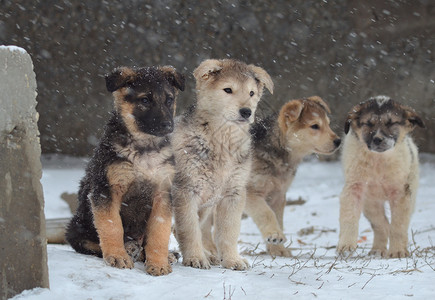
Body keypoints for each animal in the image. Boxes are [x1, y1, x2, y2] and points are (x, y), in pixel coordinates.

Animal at [65, 64, 185, 276]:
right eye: (145, 100)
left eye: (169, 100)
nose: (168, 126)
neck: (144, 148)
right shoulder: (107, 190)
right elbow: (112, 226)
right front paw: (118, 256)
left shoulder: (163, 194)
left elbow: (159, 232)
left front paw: (158, 263)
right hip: (76, 227)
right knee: (91, 242)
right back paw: (128, 249)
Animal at [172, 58, 274, 270]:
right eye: (228, 90)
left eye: (251, 93)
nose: (246, 112)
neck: (222, 141)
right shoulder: (185, 191)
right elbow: (189, 230)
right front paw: (195, 258)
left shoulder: (233, 193)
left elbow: (228, 232)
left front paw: (232, 260)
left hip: (206, 206)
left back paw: (209, 255)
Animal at [247, 97, 342, 256]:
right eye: (315, 126)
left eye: (328, 124)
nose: (338, 141)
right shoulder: (250, 192)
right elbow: (266, 213)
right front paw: (274, 235)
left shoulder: (278, 195)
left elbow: (278, 219)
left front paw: (278, 250)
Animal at [338, 96, 426, 258]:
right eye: (368, 124)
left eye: (391, 123)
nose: (378, 139)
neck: (378, 161)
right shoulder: (354, 188)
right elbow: (349, 217)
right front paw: (346, 246)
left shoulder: (401, 193)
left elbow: (398, 225)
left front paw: (397, 251)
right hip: (370, 203)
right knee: (381, 223)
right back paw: (377, 249)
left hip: (411, 193)